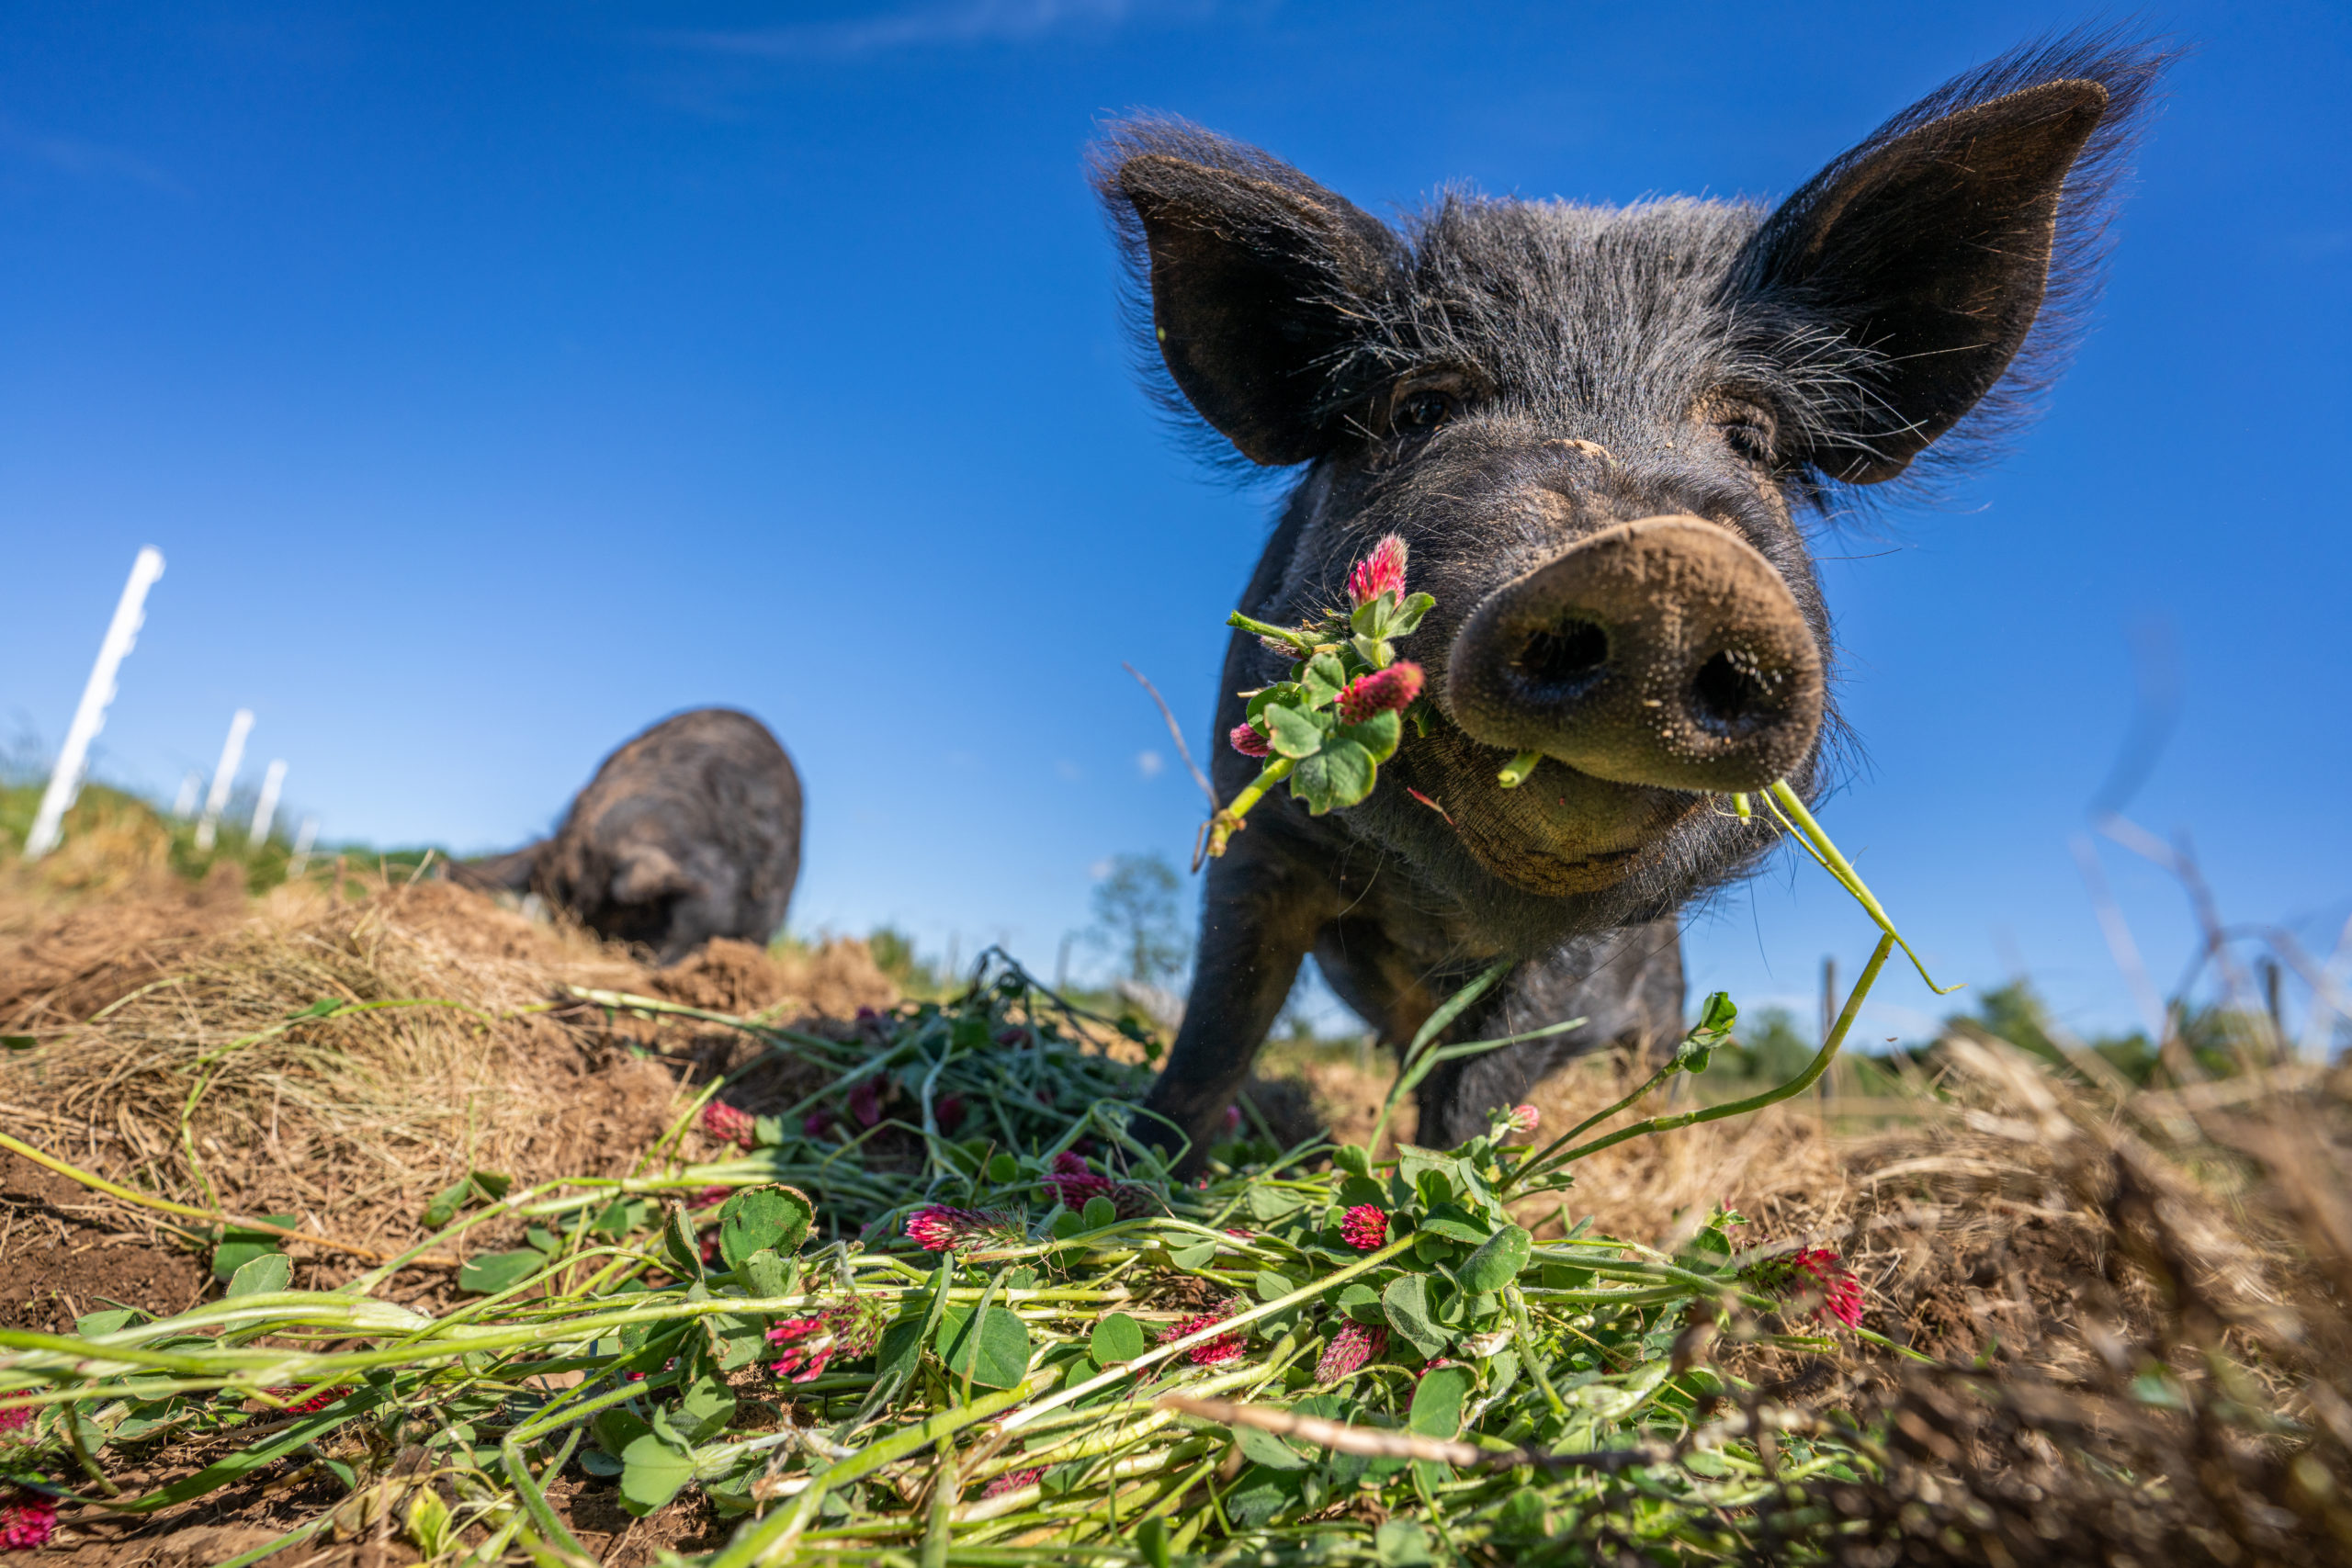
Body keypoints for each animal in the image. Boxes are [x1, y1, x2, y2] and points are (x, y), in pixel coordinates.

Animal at [1096, 36, 2163, 1159]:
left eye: (1752, 437)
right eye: (1419, 407)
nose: (1663, 570)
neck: (1442, 914)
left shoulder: (1587, 943)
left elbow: (1481, 1080)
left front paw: (1442, 1192)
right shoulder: (1255, 835)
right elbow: (1217, 1030)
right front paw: (1132, 1160)